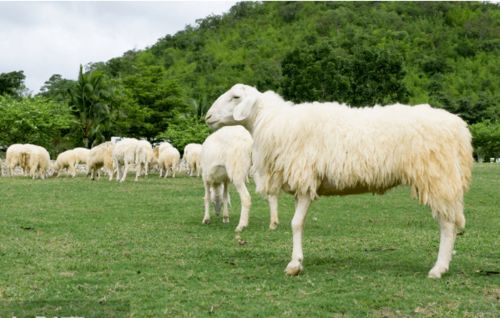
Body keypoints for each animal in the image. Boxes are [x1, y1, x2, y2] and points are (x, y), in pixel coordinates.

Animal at [206, 82, 472, 278]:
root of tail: (459, 127)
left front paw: (294, 264)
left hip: (437, 177)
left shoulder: (305, 178)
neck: (272, 122)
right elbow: (297, 223)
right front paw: (297, 260)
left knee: (447, 225)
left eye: (235, 97)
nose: (208, 116)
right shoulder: (302, 183)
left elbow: (295, 224)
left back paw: (438, 269)